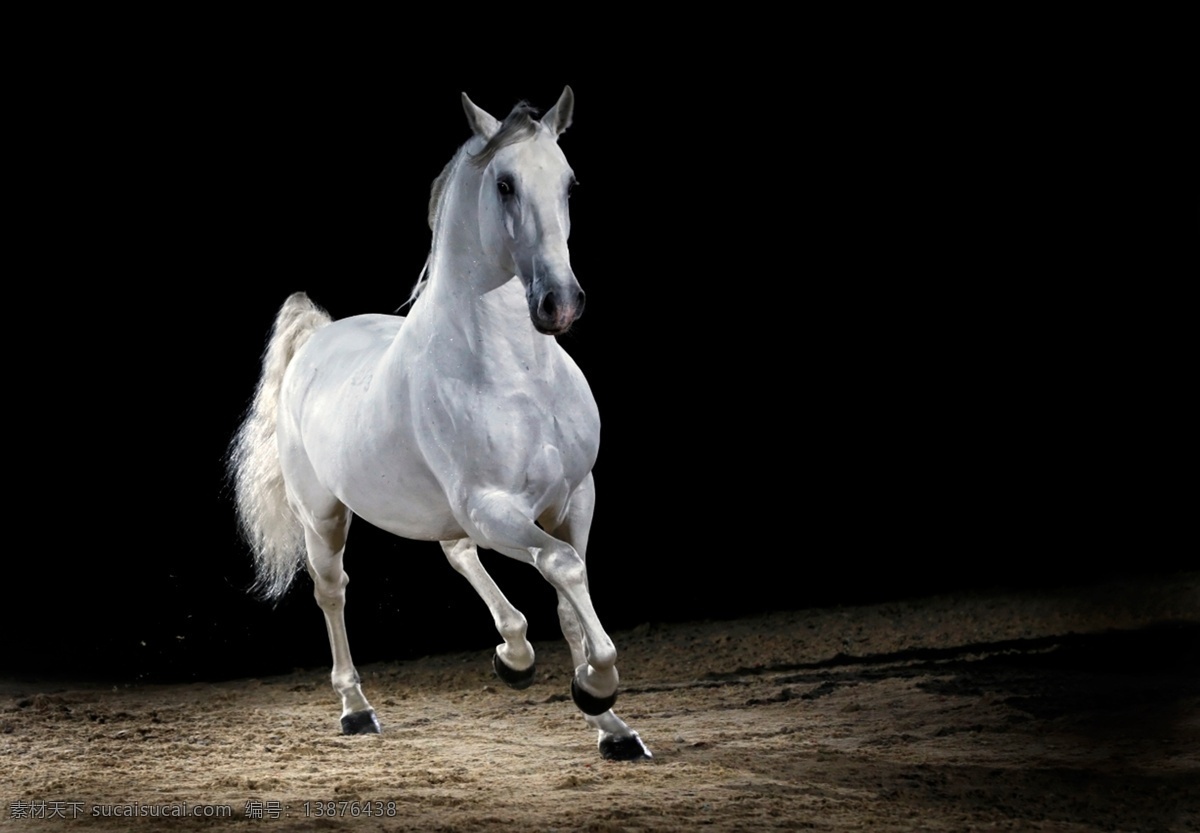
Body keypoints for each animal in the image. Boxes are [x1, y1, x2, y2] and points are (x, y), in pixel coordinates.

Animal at [230, 90, 652, 763]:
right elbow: (563, 568)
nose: (559, 304)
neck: (517, 377)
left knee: (457, 553)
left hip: (448, 512)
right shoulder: (491, 505)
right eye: (504, 184)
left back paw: (513, 656)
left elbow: (568, 597)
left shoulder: (573, 497)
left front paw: (612, 726)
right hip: (324, 516)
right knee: (332, 590)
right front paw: (597, 689)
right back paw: (356, 709)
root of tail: (316, 339)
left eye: (569, 183)